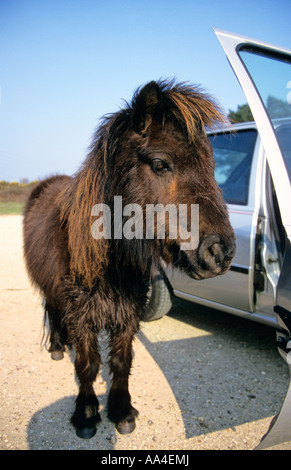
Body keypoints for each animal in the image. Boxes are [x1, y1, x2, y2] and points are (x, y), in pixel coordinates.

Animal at [23, 79, 237, 438]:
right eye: (160, 163)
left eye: (211, 165)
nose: (222, 252)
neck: (109, 265)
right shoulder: (82, 317)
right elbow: (88, 365)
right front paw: (86, 415)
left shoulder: (127, 316)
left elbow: (121, 363)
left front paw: (121, 411)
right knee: (51, 309)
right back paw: (56, 347)